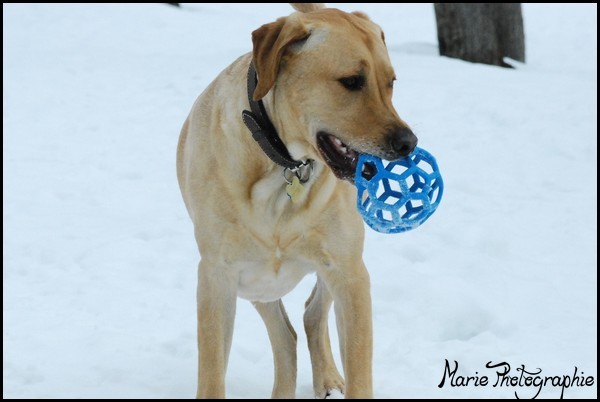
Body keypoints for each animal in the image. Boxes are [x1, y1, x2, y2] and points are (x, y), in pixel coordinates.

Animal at [176, 2, 414, 398]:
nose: (408, 143)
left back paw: (328, 379)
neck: (283, 164)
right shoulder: (217, 275)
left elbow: (359, 365)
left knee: (310, 315)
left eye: (391, 82)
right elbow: (211, 372)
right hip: (254, 281)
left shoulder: (349, 272)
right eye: (352, 81)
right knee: (286, 336)